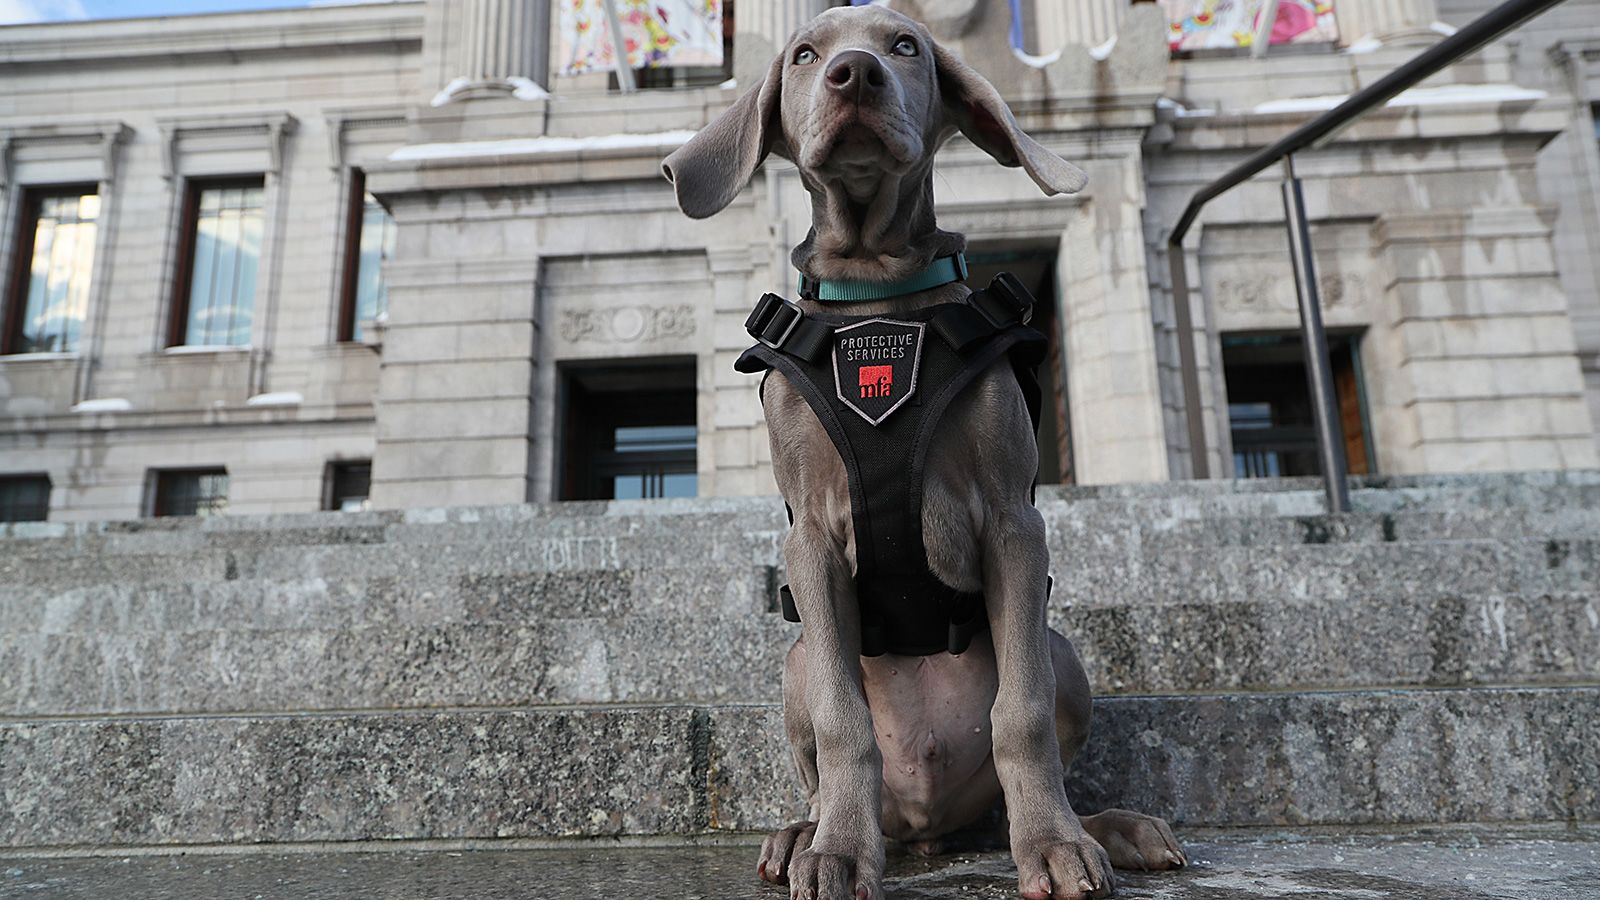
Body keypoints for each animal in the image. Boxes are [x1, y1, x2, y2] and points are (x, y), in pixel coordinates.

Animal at [656, 7, 1184, 896]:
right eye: (805, 54)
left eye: (904, 46)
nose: (854, 75)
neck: (877, 292)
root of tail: (928, 828)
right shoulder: (811, 539)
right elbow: (845, 722)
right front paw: (838, 852)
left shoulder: (1012, 521)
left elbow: (1021, 714)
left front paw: (1056, 844)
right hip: (795, 661)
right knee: (830, 756)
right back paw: (804, 833)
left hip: (1063, 651)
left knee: (1020, 759)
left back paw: (1105, 827)